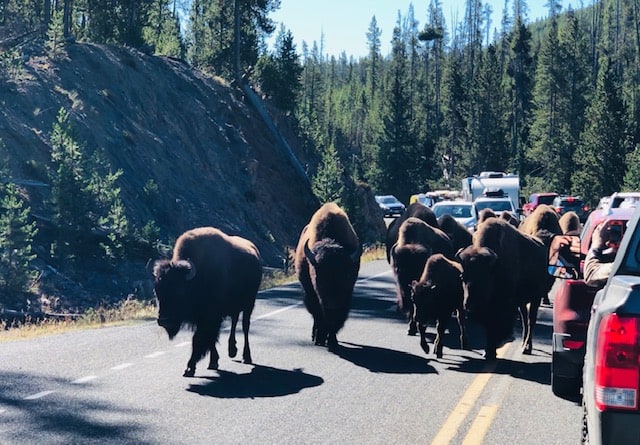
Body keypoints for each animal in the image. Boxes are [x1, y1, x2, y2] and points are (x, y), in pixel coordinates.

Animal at [149, 227, 262, 376]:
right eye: (156, 291)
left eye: (179, 291)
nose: (163, 320)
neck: (197, 278)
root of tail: (254, 250)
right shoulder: (204, 319)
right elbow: (210, 340)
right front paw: (212, 362)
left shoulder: (210, 318)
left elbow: (199, 339)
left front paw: (189, 367)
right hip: (236, 307)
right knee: (234, 322)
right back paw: (232, 351)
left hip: (249, 303)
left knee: (245, 327)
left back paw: (246, 357)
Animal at [294, 202, 360, 350]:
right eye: (319, 276)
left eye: (346, 275)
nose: (332, 304)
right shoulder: (314, 295)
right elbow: (319, 316)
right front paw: (319, 339)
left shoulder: (346, 295)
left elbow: (336, 319)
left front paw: (332, 341)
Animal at [458, 219, 548, 360]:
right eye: (462, 276)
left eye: (485, 277)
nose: (469, 304)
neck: (495, 267)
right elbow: (488, 327)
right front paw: (487, 352)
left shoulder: (502, 306)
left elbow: (496, 326)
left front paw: (491, 351)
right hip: (522, 302)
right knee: (524, 319)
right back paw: (523, 344)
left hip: (536, 298)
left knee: (530, 321)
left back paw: (527, 348)